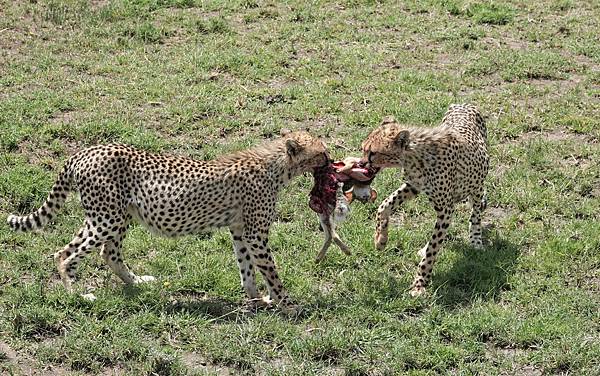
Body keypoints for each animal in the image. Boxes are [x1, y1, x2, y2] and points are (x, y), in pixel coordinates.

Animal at [7, 131, 330, 312]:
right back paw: (78, 295)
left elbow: (247, 268)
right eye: (322, 152)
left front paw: (256, 300)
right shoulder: (254, 233)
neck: (277, 166)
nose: (330, 161)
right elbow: (270, 271)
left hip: (119, 215)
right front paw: (288, 305)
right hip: (107, 217)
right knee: (64, 253)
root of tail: (86, 150)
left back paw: (137, 282)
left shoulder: (240, 230)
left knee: (108, 252)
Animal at [360, 103, 488, 296]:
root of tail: (464, 104)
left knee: (476, 212)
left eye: (372, 153)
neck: (412, 157)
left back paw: (475, 240)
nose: (360, 163)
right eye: (364, 149)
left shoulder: (445, 209)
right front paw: (380, 240)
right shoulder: (413, 187)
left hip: (477, 183)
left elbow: (434, 247)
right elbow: (384, 206)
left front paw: (420, 283)